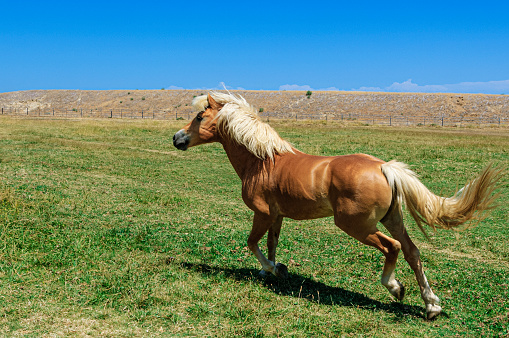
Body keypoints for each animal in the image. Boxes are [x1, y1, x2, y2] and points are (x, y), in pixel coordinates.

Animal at [173, 92, 502, 320]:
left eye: (200, 116)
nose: (177, 138)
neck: (263, 161)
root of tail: (384, 167)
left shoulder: (262, 213)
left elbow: (252, 242)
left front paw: (274, 269)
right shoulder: (277, 216)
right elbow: (270, 244)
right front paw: (273, 270)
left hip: (355, 224)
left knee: (392, 247)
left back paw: (395, 288)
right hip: (392, 219)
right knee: (412, 251)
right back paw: (431, 305)